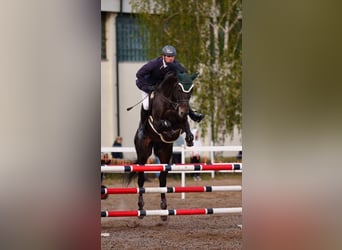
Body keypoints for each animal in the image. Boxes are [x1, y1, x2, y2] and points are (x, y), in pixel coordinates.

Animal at [127, 68, 199, 221]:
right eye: (178, 89)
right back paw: (140, 208)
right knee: (141, 180)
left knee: (162, 180)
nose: (184, 110)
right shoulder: (158, 122)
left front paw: (189, 137)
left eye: (191, 90)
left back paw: (164, 210)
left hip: (164, 153)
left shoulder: (179, 118)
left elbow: (184, 122)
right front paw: (170, 129)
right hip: (143, 154)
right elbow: (164, 123)